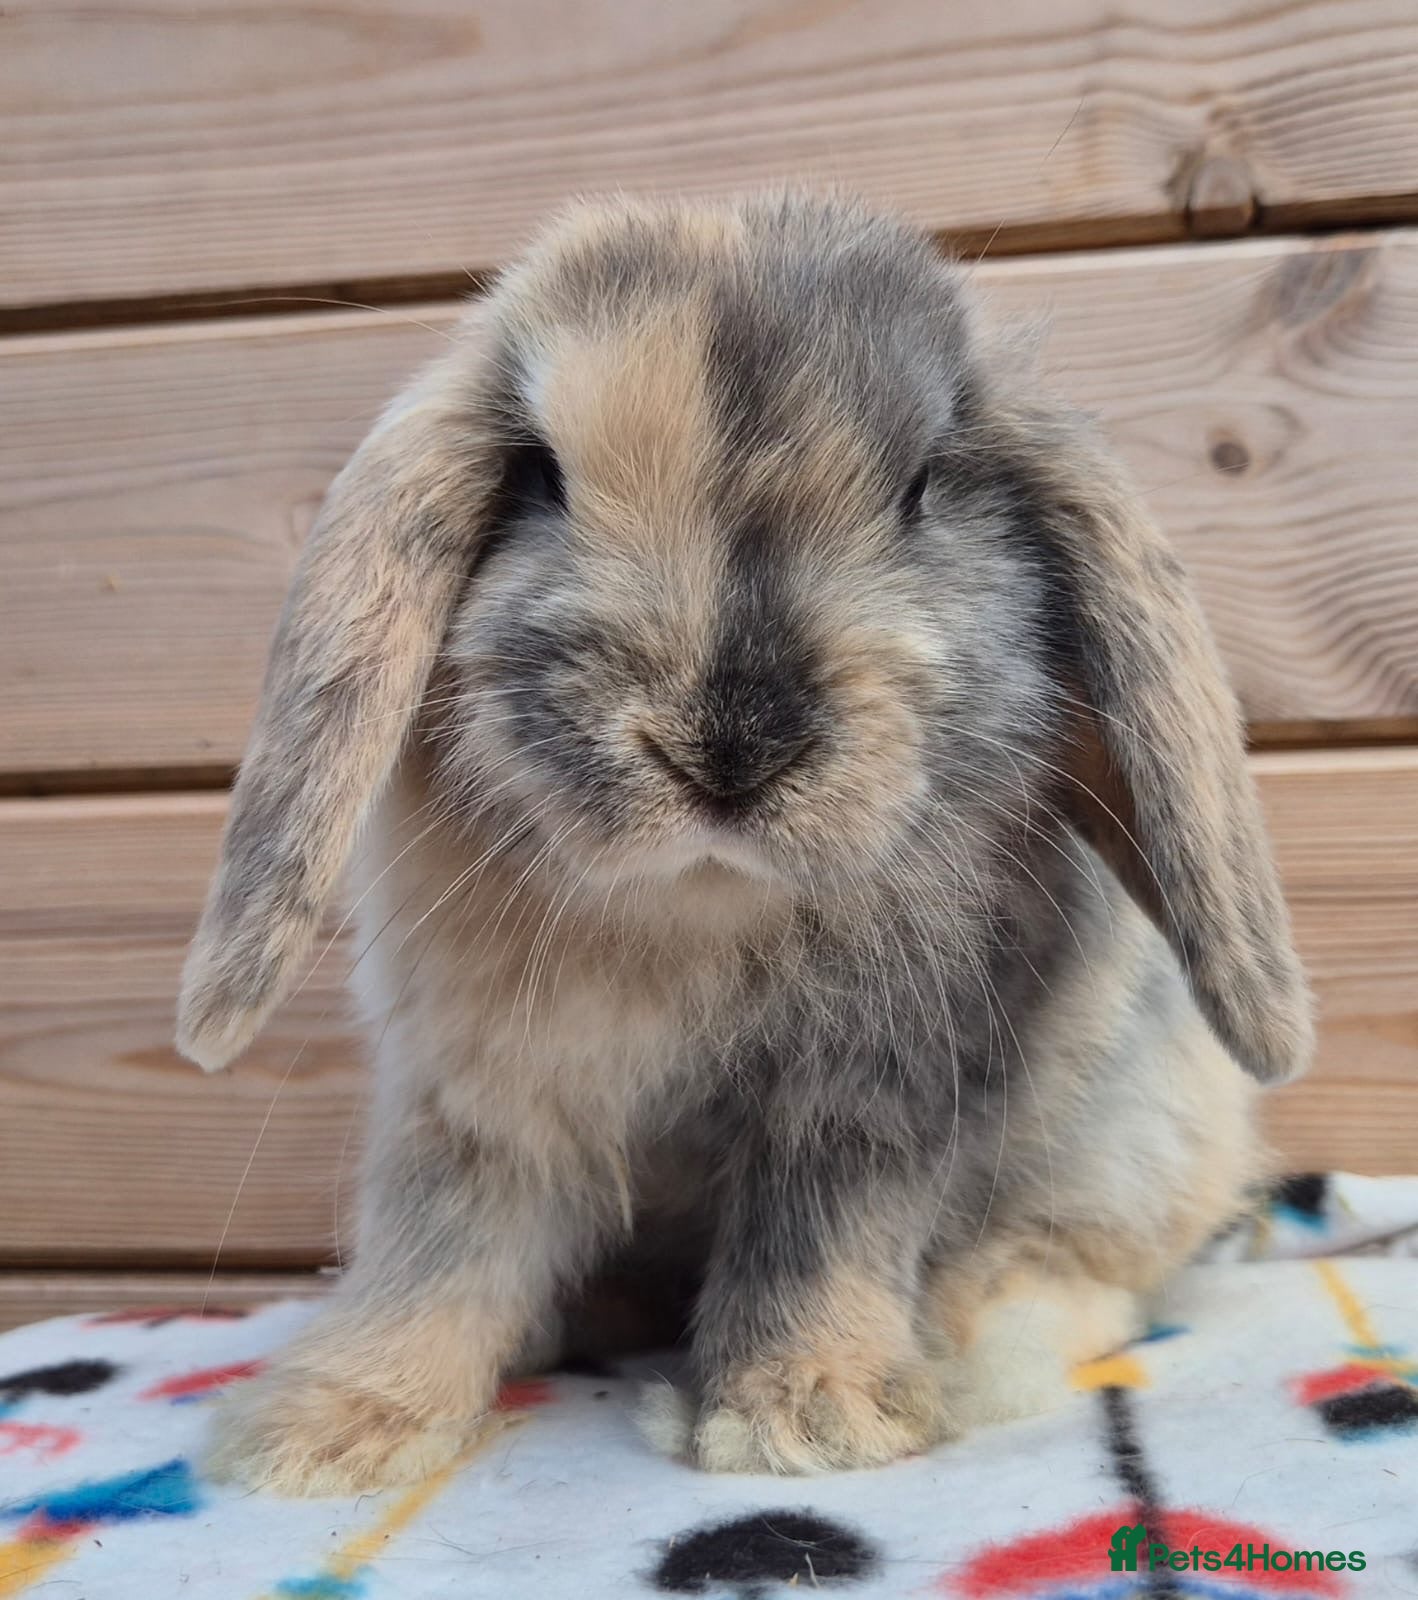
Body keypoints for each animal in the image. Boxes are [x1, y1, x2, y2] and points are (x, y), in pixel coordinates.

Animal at [177, 190, 1311, 1494]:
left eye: (924, 485)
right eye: (539, 476)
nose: (727, 747)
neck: (698, 910)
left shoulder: (864, 1095)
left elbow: (816, 1240)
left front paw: (802, 1420)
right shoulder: (481, 1091)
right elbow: (438, 1245)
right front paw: (328, 1432)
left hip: (1139, 1136)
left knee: (1079, 1272)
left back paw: (967, 1345)